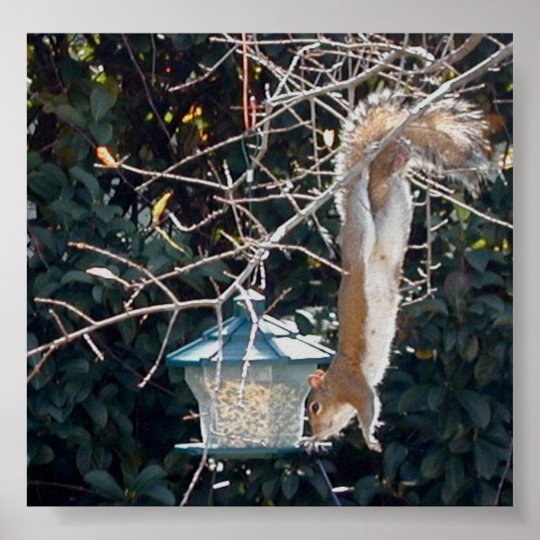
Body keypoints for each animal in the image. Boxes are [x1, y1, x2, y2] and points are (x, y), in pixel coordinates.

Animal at [306, 89, 492, 452]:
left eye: (314, 407)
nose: (313, 433)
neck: (335, 384)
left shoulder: (355, 386)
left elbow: (368, 407)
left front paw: (369, 438)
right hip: (397, 209)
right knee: (392, 187)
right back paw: (395, 162)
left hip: (359, 236)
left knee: (358, 201)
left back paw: (364, 169)